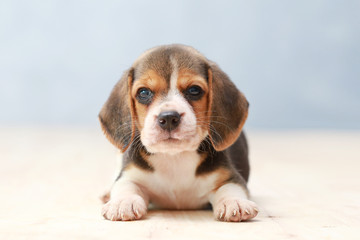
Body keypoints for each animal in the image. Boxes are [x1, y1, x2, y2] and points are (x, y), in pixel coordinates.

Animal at [98, 44, 258, 222]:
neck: (174, 157)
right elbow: (125, 185)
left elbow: (230, 188)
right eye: (143, 92)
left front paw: (234, 202)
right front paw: (123, 202)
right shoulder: (130, 175)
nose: (168, 118)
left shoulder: (229, 176)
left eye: (194, 90)